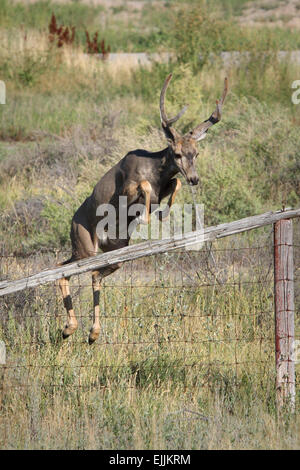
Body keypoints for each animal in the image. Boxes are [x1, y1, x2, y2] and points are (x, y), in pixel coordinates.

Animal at [58, 74, 227, 346]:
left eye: (196, 152)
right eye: (177, 153)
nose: (195, 178)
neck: (156, 169)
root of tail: (72, 222)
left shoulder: (165, 187)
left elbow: (174, 184)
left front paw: (162, 212)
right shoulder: (126, 188)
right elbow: (145, 185)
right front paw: (147, 216)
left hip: (113, 253)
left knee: (91, 276)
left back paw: (88, 332)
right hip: (84, 245)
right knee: (64, 271)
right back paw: (70, 328)